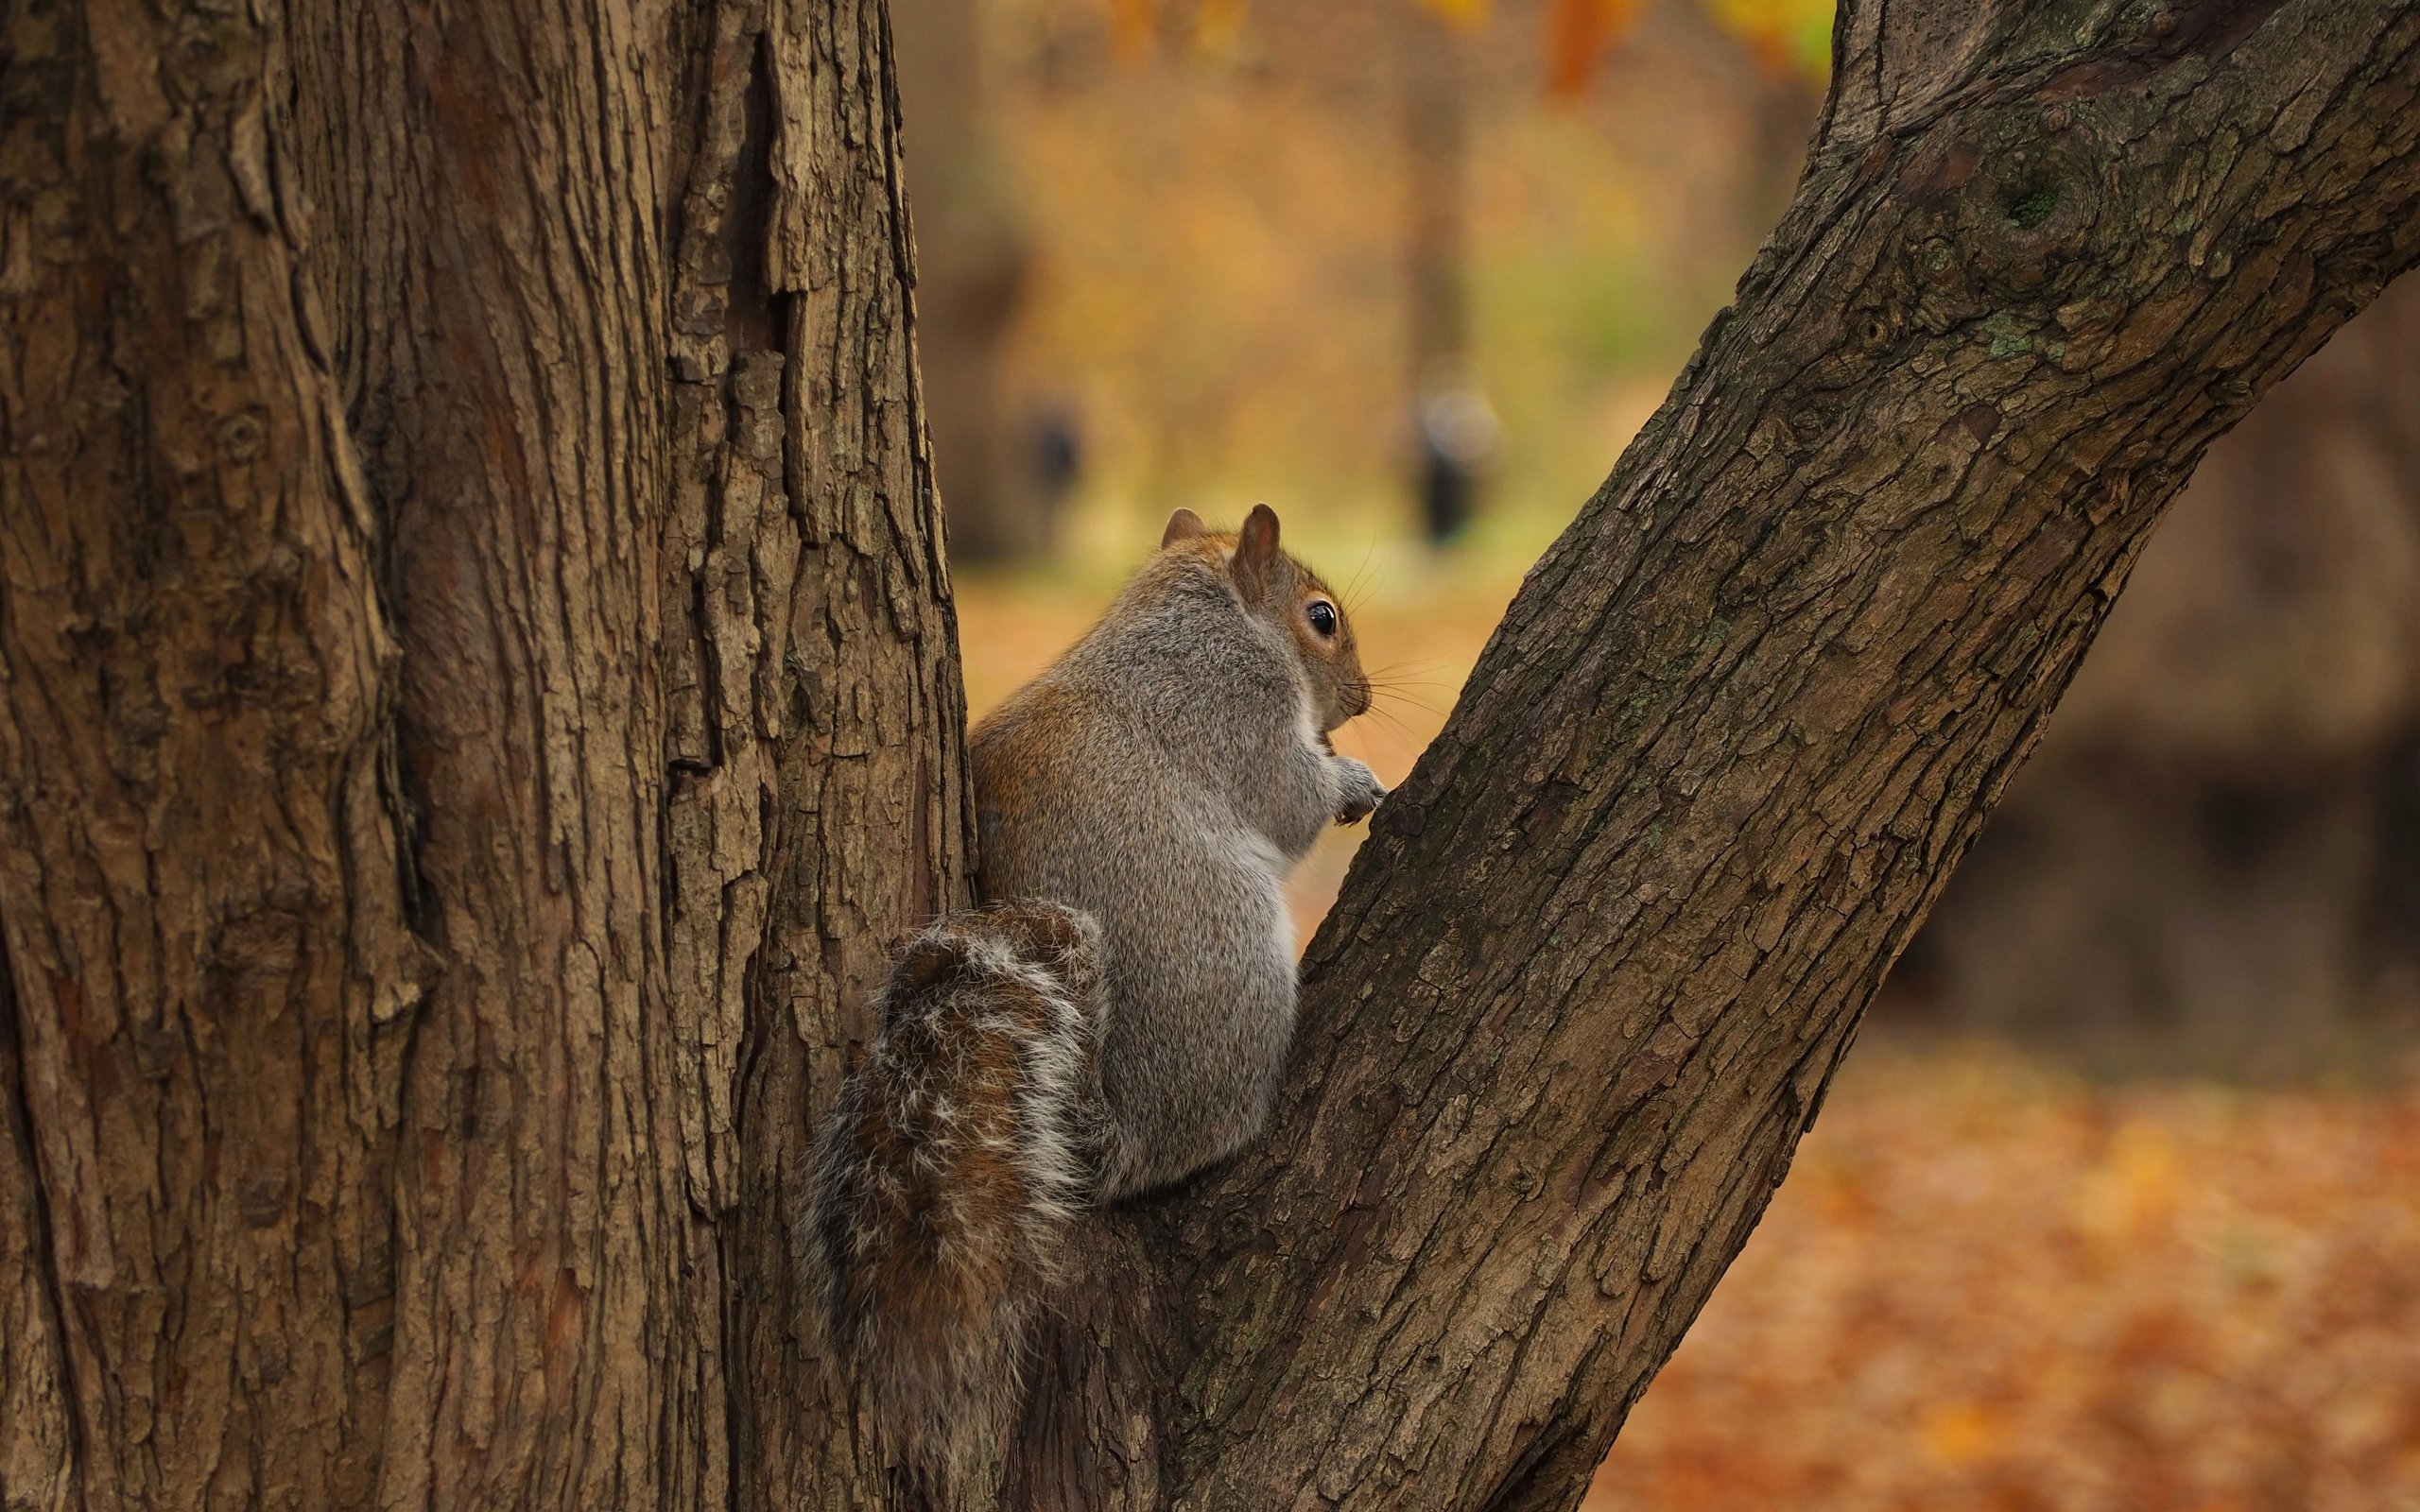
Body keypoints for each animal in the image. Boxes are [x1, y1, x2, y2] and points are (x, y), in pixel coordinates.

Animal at [808, 503, 1384, 1470]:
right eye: (1323, 618)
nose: (1367, 700)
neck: (1196, 614)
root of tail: (1122, 1134)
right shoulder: (1235, 710)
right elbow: (1288, 796)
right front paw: (1353, 777)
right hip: (1233, 960)